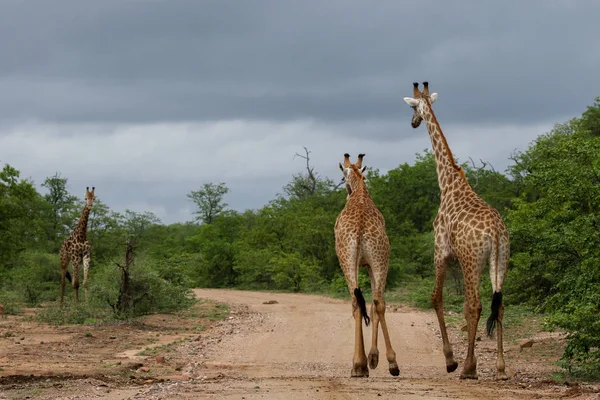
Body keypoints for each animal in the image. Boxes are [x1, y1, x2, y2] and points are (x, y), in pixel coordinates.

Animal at [332, 153, 398, 378]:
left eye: (342, 176)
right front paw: (373, 358)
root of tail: (360, 227)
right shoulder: (369, 264)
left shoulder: (363, 264)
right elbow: (373, 304)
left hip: (348, 260)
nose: (346, 190)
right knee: (378, 302)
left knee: (357, 302)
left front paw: (368, 361)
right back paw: (389, 363)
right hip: (380, 259)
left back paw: (359, 365)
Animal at [404, 80, 510, 378]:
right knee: (499, 305)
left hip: (473, 260)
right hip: (499, 261)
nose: (413, 123)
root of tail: (496, 233)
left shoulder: (441, 250)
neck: (448, 181)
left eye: (412, 108)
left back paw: (467, 368)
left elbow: (436, 298)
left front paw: (450, 359)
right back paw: (500, 367)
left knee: (475, 304)